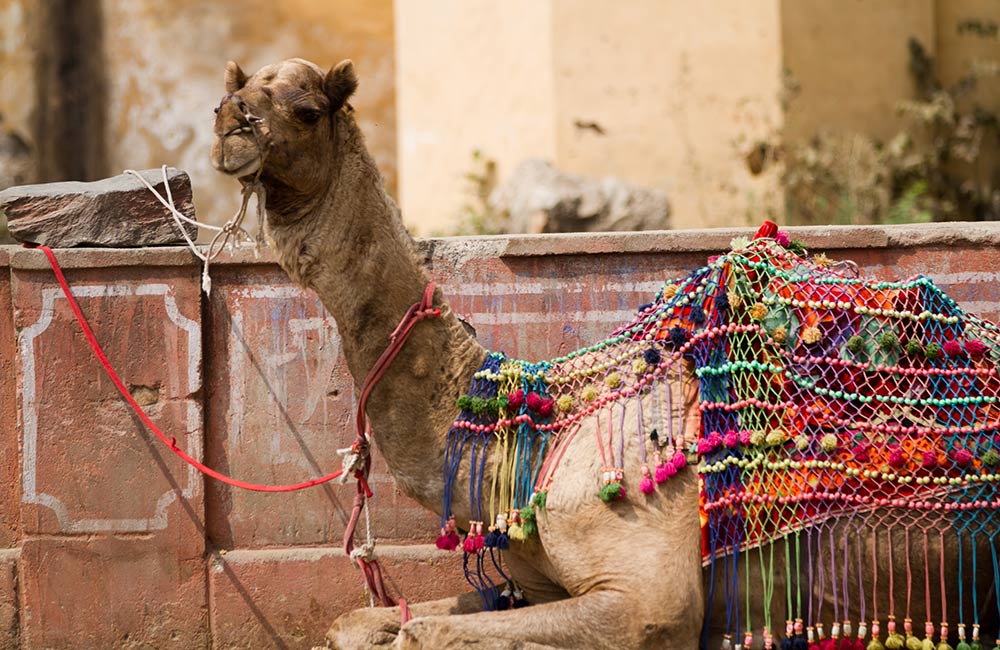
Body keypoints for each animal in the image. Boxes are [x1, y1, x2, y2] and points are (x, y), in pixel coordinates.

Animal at [215, 58, 1000, 644]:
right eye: (240, 87)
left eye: (306, 108)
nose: (229, 125)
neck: (528, 435)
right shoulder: (530, 581)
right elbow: (358, 622)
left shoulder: (644, 597)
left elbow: (422, 633)